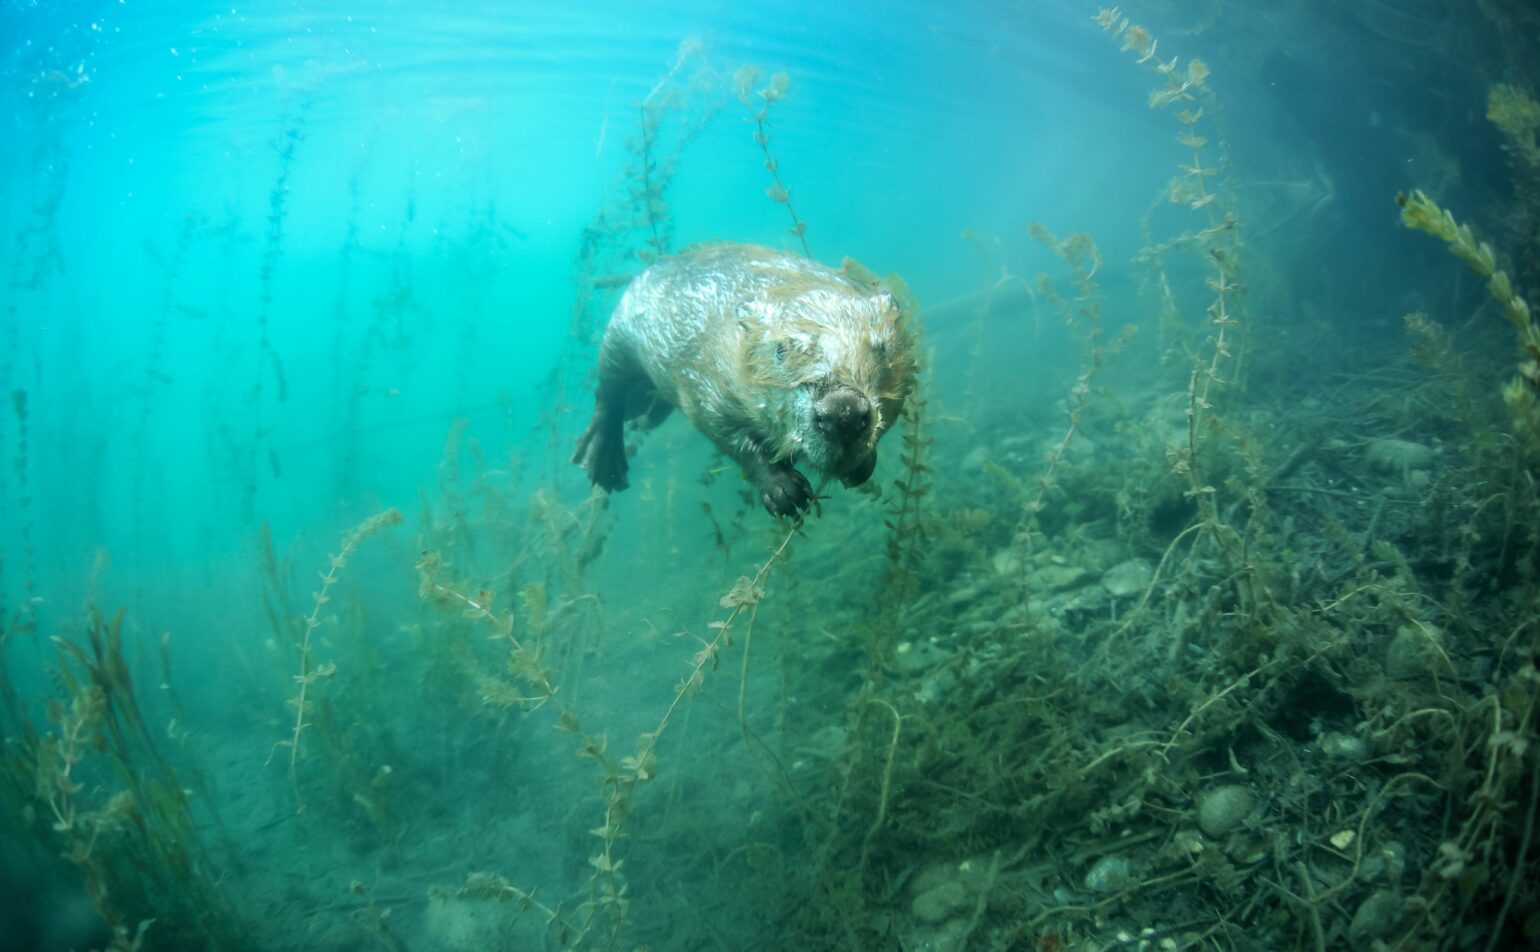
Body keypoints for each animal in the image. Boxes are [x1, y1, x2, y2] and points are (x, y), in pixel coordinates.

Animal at [575, 240, 911, 514]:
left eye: (882, 347)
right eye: (780, 349)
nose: (843, 414)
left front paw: (861, 466)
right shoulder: (705, 380)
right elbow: (726, 432)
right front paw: (785, 493)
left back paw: (644, 418)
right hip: (619, 334)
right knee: (608, 392)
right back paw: (602, 461)